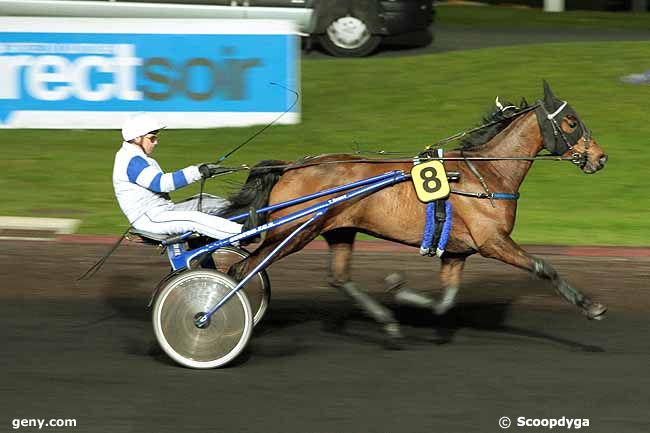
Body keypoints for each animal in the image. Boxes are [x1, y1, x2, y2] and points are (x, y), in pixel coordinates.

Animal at [224, 81, 608, 338]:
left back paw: (386, 321)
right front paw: (591, 306)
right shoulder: (492, 241)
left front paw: (400, 291)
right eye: (571, 121)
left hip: (338, 229)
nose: (600, 157)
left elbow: (446, 301)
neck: (485, 173)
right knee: (243, 267)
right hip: (292, 232)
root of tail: (292, 166)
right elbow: (545, 267)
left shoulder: (456, 251)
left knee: (338, 277)